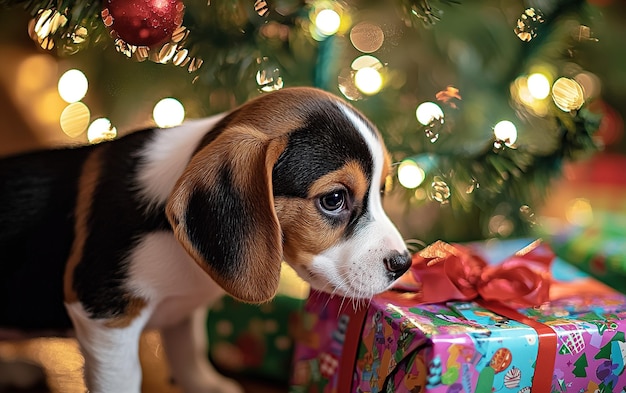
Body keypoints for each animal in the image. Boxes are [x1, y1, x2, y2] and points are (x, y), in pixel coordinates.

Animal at [0, 87, 410, 390]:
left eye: (382, 190)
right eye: (334, 199)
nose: (403, 264)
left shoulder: (184, 311)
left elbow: (189, 350)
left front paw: (204, 384)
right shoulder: (104, 315)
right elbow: (124, 378)